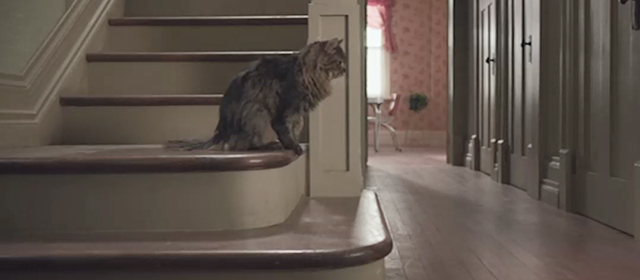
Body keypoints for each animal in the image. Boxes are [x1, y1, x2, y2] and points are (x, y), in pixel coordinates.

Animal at [162, 37, 348, 155]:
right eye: (340, 62)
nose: (346, 70)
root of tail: (221, 132)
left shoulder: (298, 115)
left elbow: (294, 130)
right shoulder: (286, 110)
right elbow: (286, 132)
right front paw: (294, 147)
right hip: (257, 114)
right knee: (243, 146)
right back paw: (270, 146)